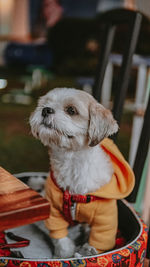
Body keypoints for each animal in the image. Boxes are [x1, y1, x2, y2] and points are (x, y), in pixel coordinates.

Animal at [29, 88, 135, 260]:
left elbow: (99, 244)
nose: (46, 110)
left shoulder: (105, 221)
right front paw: (64, 256)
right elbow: (61, 240)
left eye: (71, 110)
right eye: (45, 104)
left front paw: (88, 252)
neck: (72, 162)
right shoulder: (53, 211)